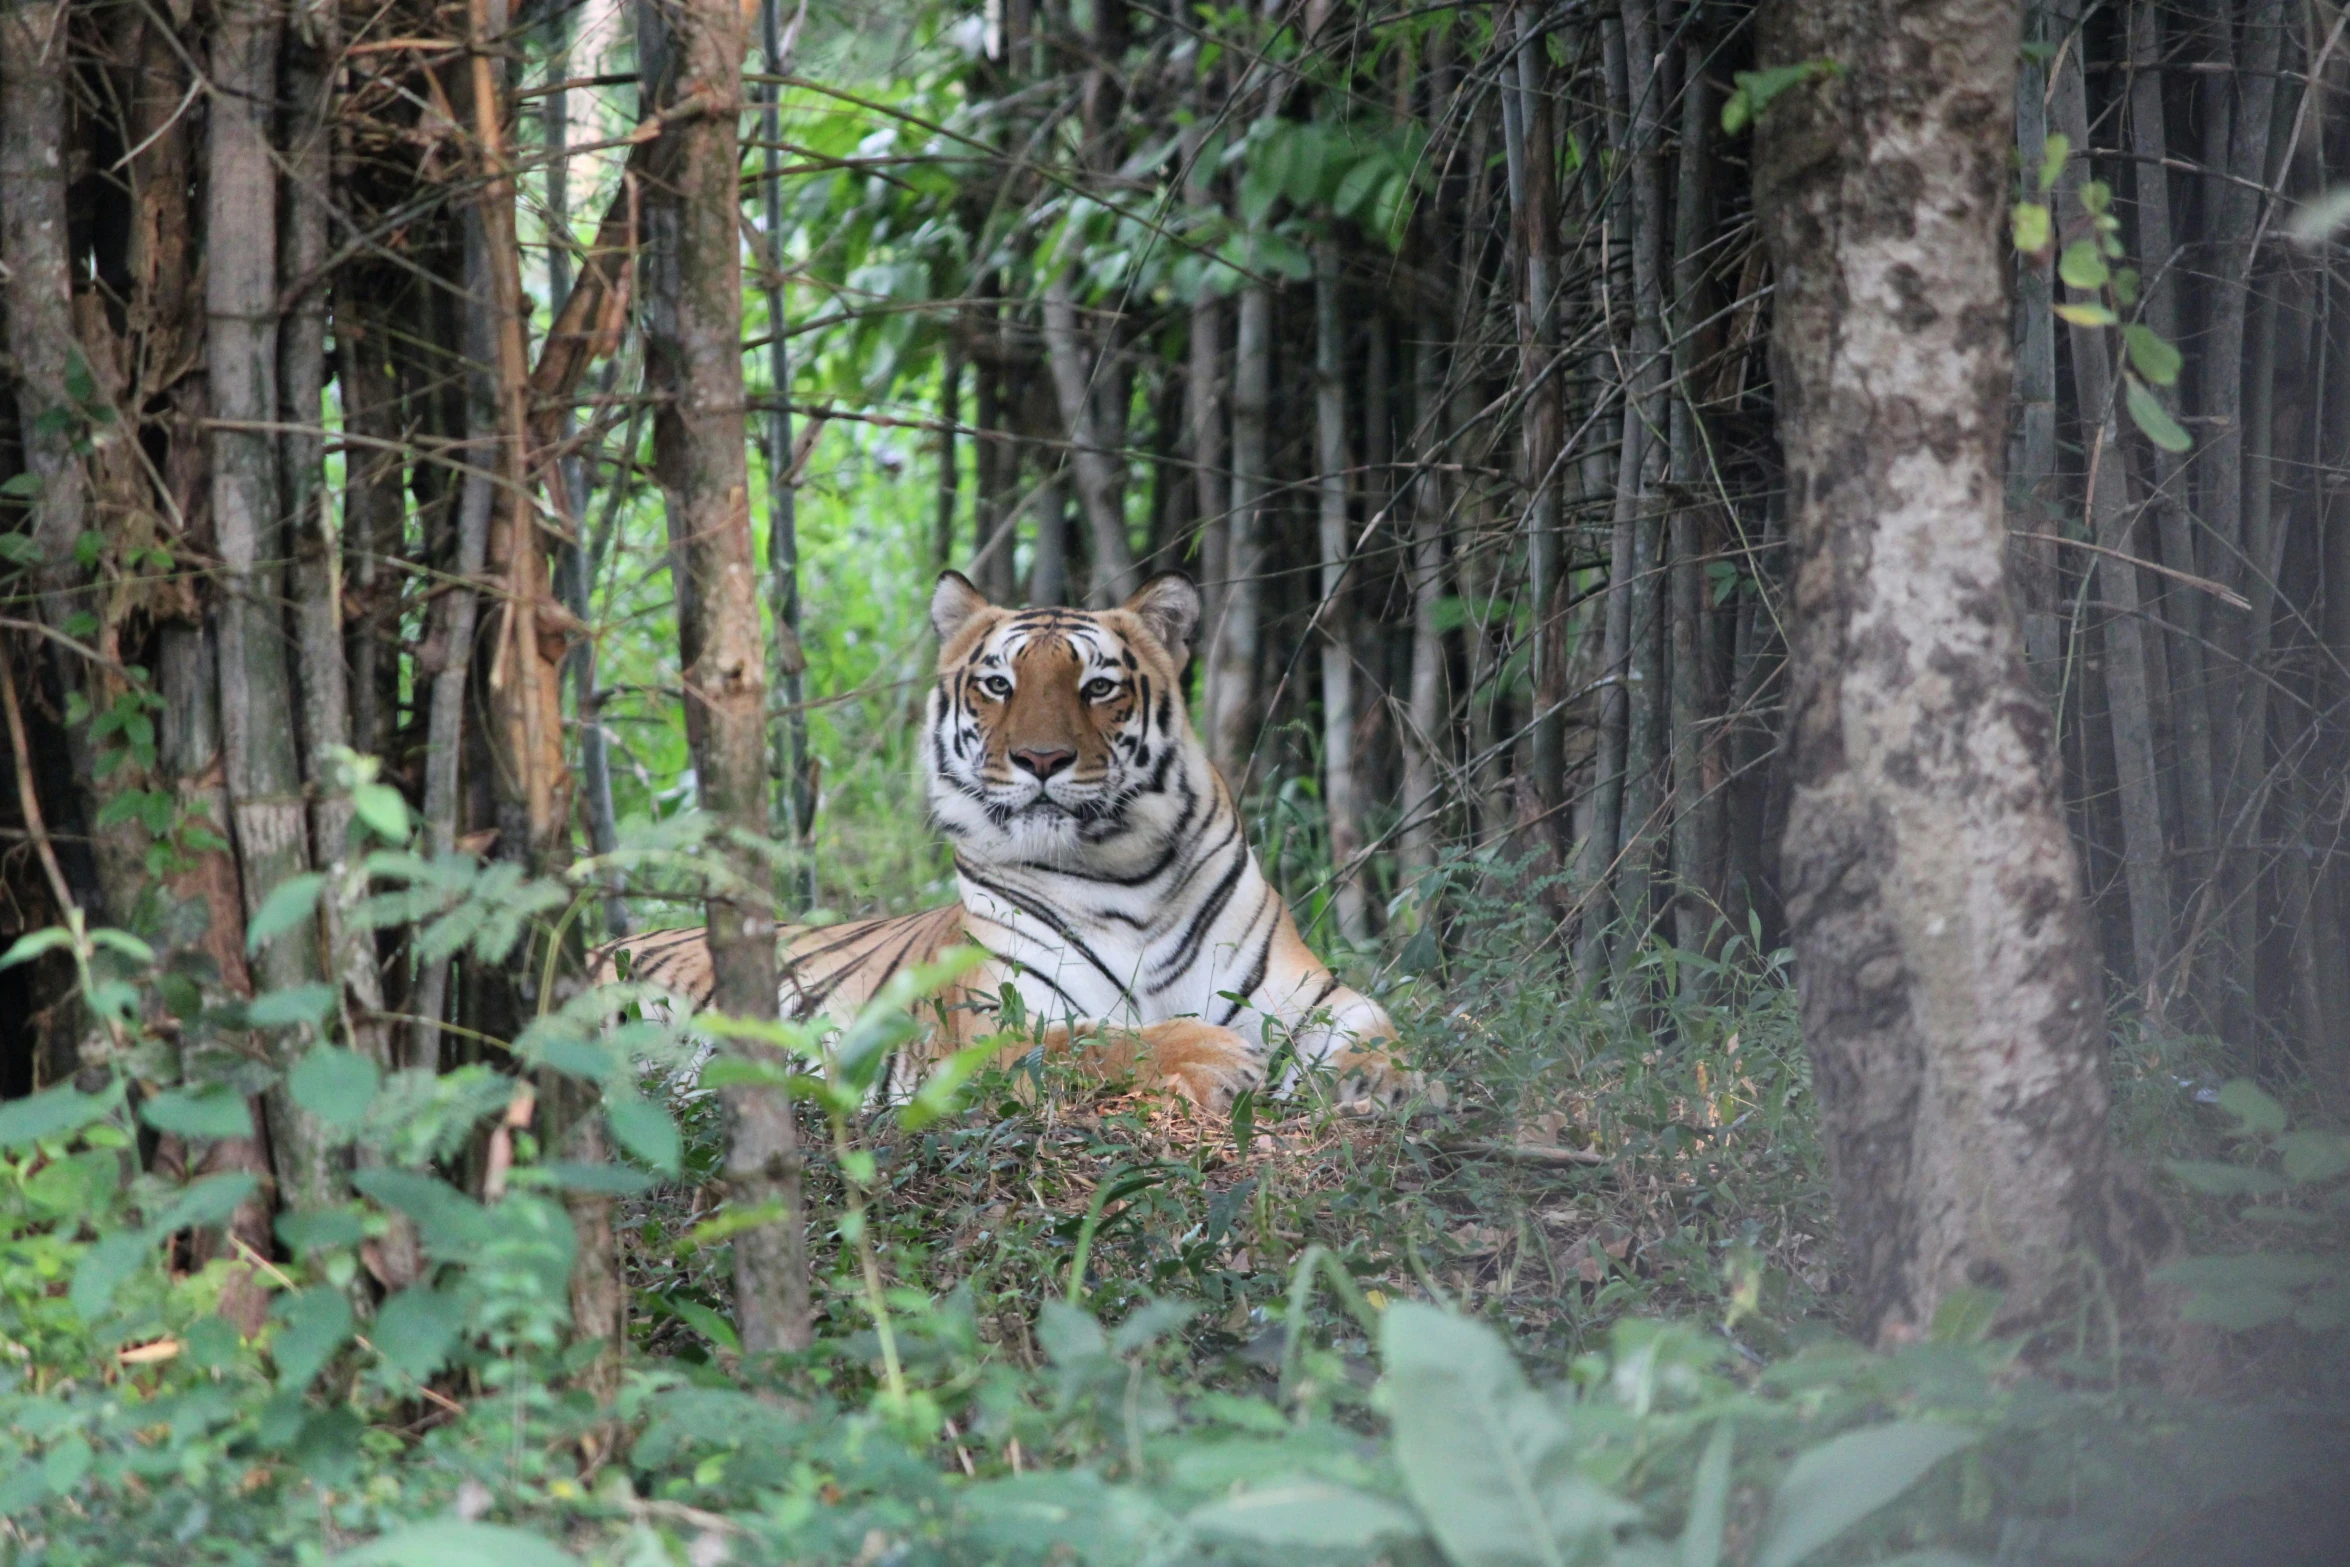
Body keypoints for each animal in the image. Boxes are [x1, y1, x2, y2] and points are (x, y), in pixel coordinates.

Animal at [606, 573, 1410, 1113]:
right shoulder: (994, 1031)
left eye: (1097, 686)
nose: (1042, 759)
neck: (1128, 876)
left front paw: (1384, 1079)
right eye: (997, 684)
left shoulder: (1306, 991)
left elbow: (1376, 1021)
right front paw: (1214, 1054)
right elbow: (1103, 1039)